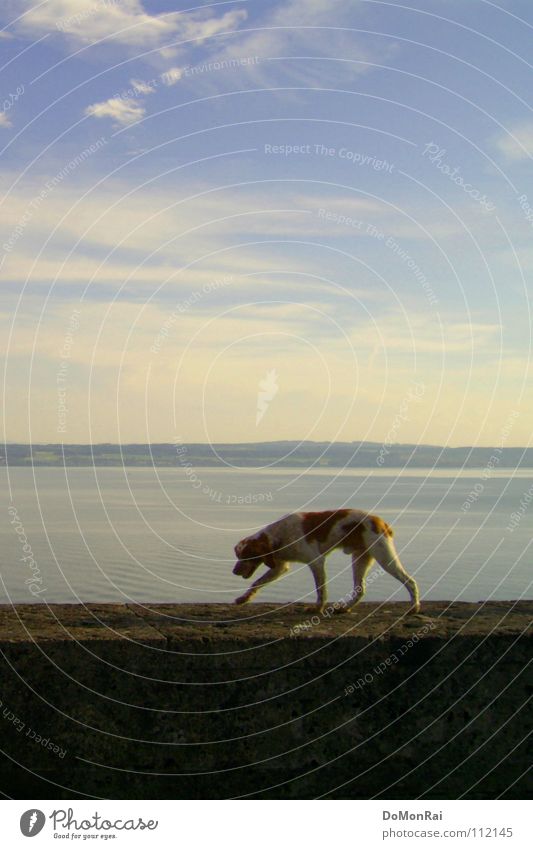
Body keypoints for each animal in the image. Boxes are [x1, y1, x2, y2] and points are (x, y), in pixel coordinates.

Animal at [233, 506, 420, 612]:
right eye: (239, 555)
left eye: (246, 556)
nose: (234, 571)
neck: (279, 536)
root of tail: (381, 522)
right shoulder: (279, 567)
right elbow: (257, 583)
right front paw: (244, 599)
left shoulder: (316, 561)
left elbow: (320, 589)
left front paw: (318, 608)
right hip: (360, 559)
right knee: (360, 589)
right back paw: (345, 608)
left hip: (384, 557)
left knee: (410, 581)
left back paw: (414, 607)